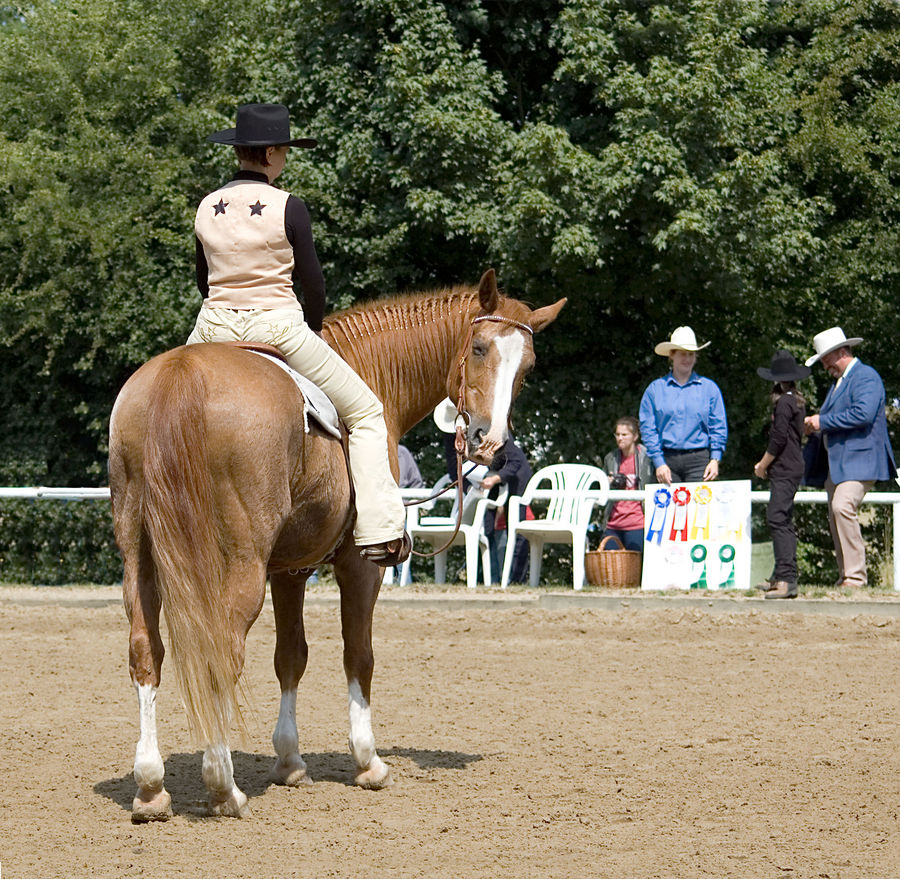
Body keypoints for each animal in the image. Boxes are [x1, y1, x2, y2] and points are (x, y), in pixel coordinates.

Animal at [109, 270, 564, 824]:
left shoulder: (288, 569)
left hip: (141, 558)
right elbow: (358, 655)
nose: (488, 440)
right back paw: (223, 787)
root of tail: (182, 374)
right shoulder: (360, 565)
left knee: (145, 650)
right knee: (223, 651)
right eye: (478, 348)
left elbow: (291, 656)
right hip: (239, 564)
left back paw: (151, 787)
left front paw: (290, 761)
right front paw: (368, 761)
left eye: (528, 366)